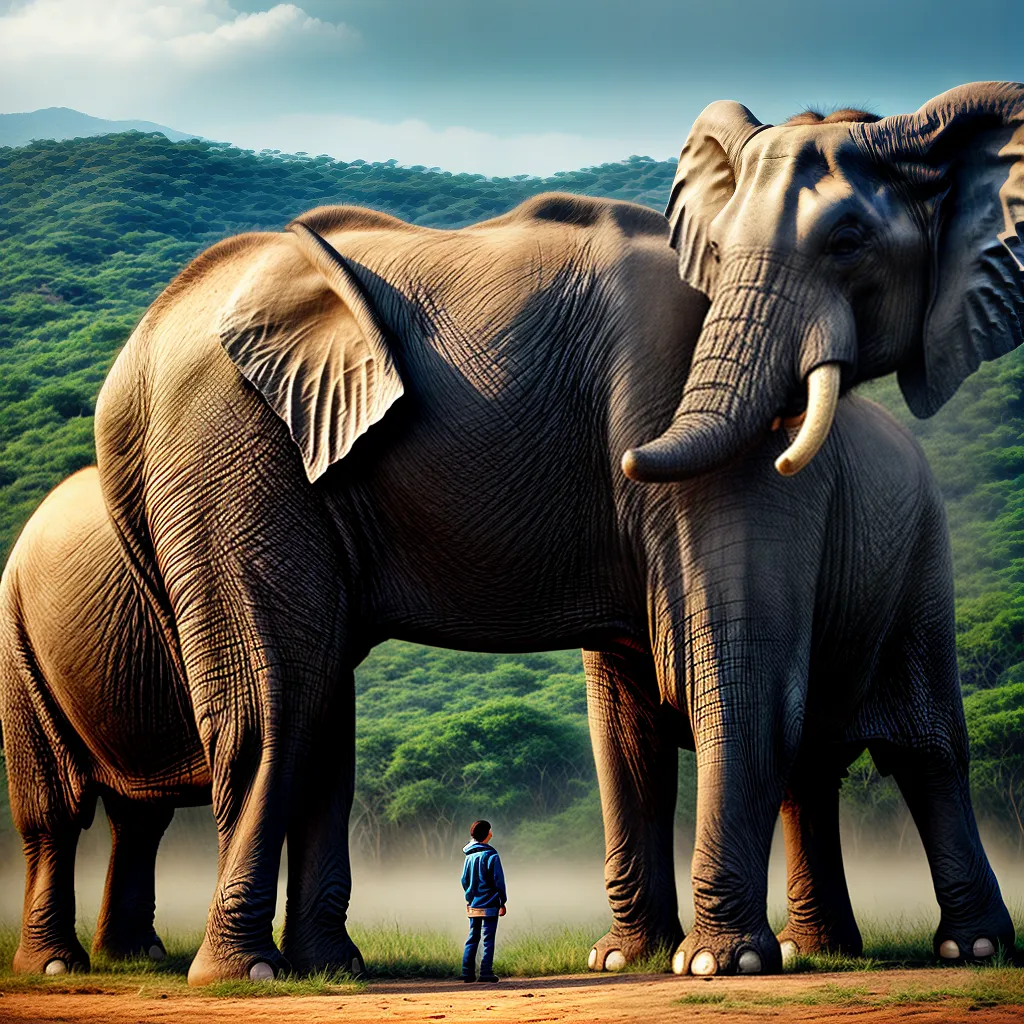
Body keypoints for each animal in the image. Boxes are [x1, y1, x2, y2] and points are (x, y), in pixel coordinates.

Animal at [89, 190, 1010, 983]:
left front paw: (703, 965)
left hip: (921, 559)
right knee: (286, 702)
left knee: (922, 747)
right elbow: (637, 721)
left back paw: (961, 951)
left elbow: (715, 684)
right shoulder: (233, 444)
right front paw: (641, 962)